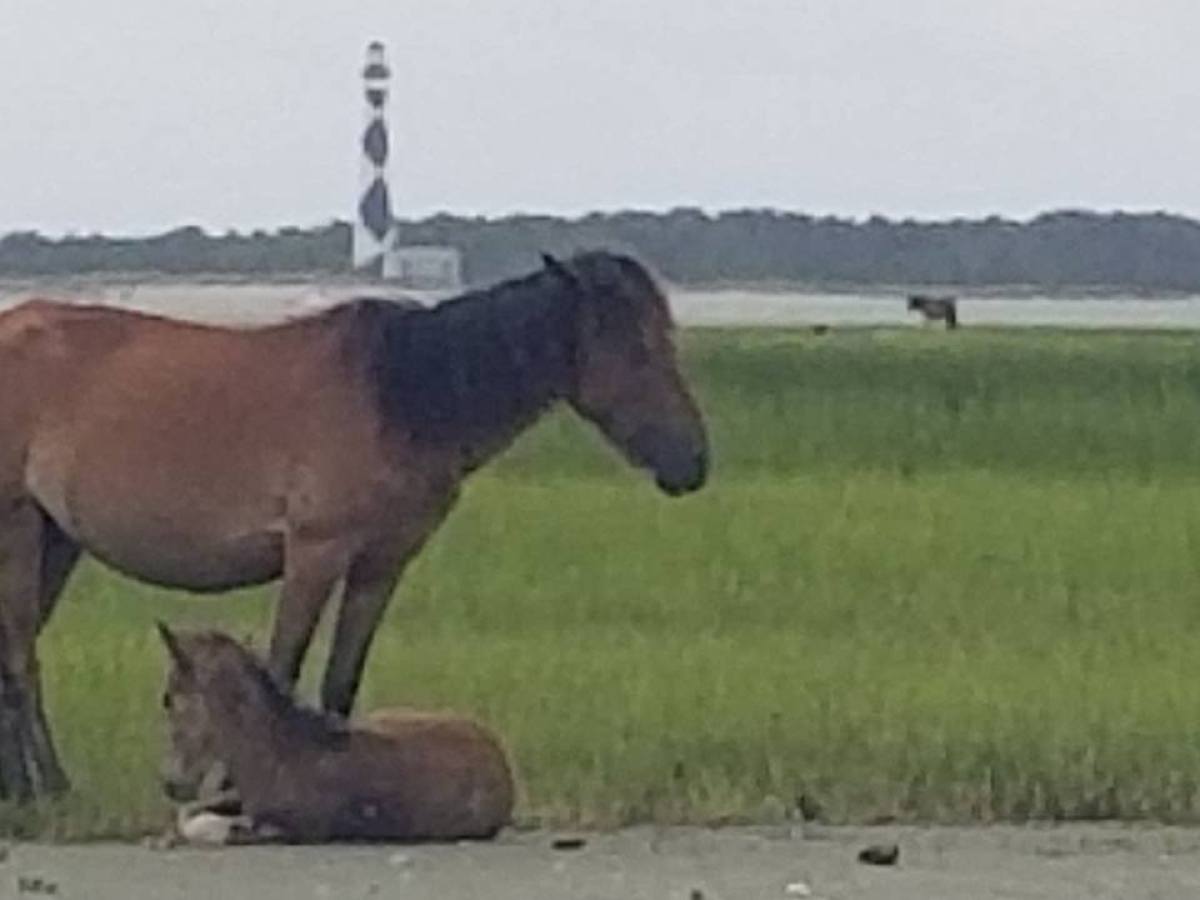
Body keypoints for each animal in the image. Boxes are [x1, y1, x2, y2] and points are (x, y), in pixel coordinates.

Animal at [0, 250, 708, 799]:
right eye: (637, 349)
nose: (693, 462)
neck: (399, 395)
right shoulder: (315, 553)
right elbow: (283, 667)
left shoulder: (382, 563)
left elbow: (341, 678)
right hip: (19, 528)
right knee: (20, 655)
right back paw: (49, 788)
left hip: (59, 540)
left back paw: (20, 791)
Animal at [156, 625, 514, 844]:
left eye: (167, 699)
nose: (173, 784)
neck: (281, 752)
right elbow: (192, 814)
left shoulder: (297, 829)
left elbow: (213, 826)